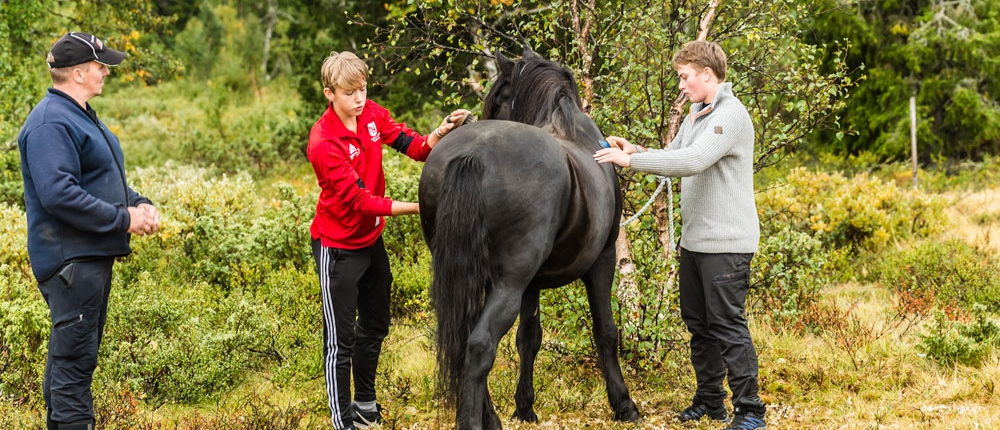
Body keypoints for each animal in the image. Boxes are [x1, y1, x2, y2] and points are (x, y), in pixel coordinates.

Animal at [416, 48, 640, 428]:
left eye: (497, 99)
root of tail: (472, 154)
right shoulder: (603, 259)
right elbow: (606, 332)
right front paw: (624, 404)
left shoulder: (532, 284)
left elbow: (529, 338)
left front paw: (524, 406)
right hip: (508, 283)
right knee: (480, 345)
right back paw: (473, 421)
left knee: (463, 340)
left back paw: (491, 418)